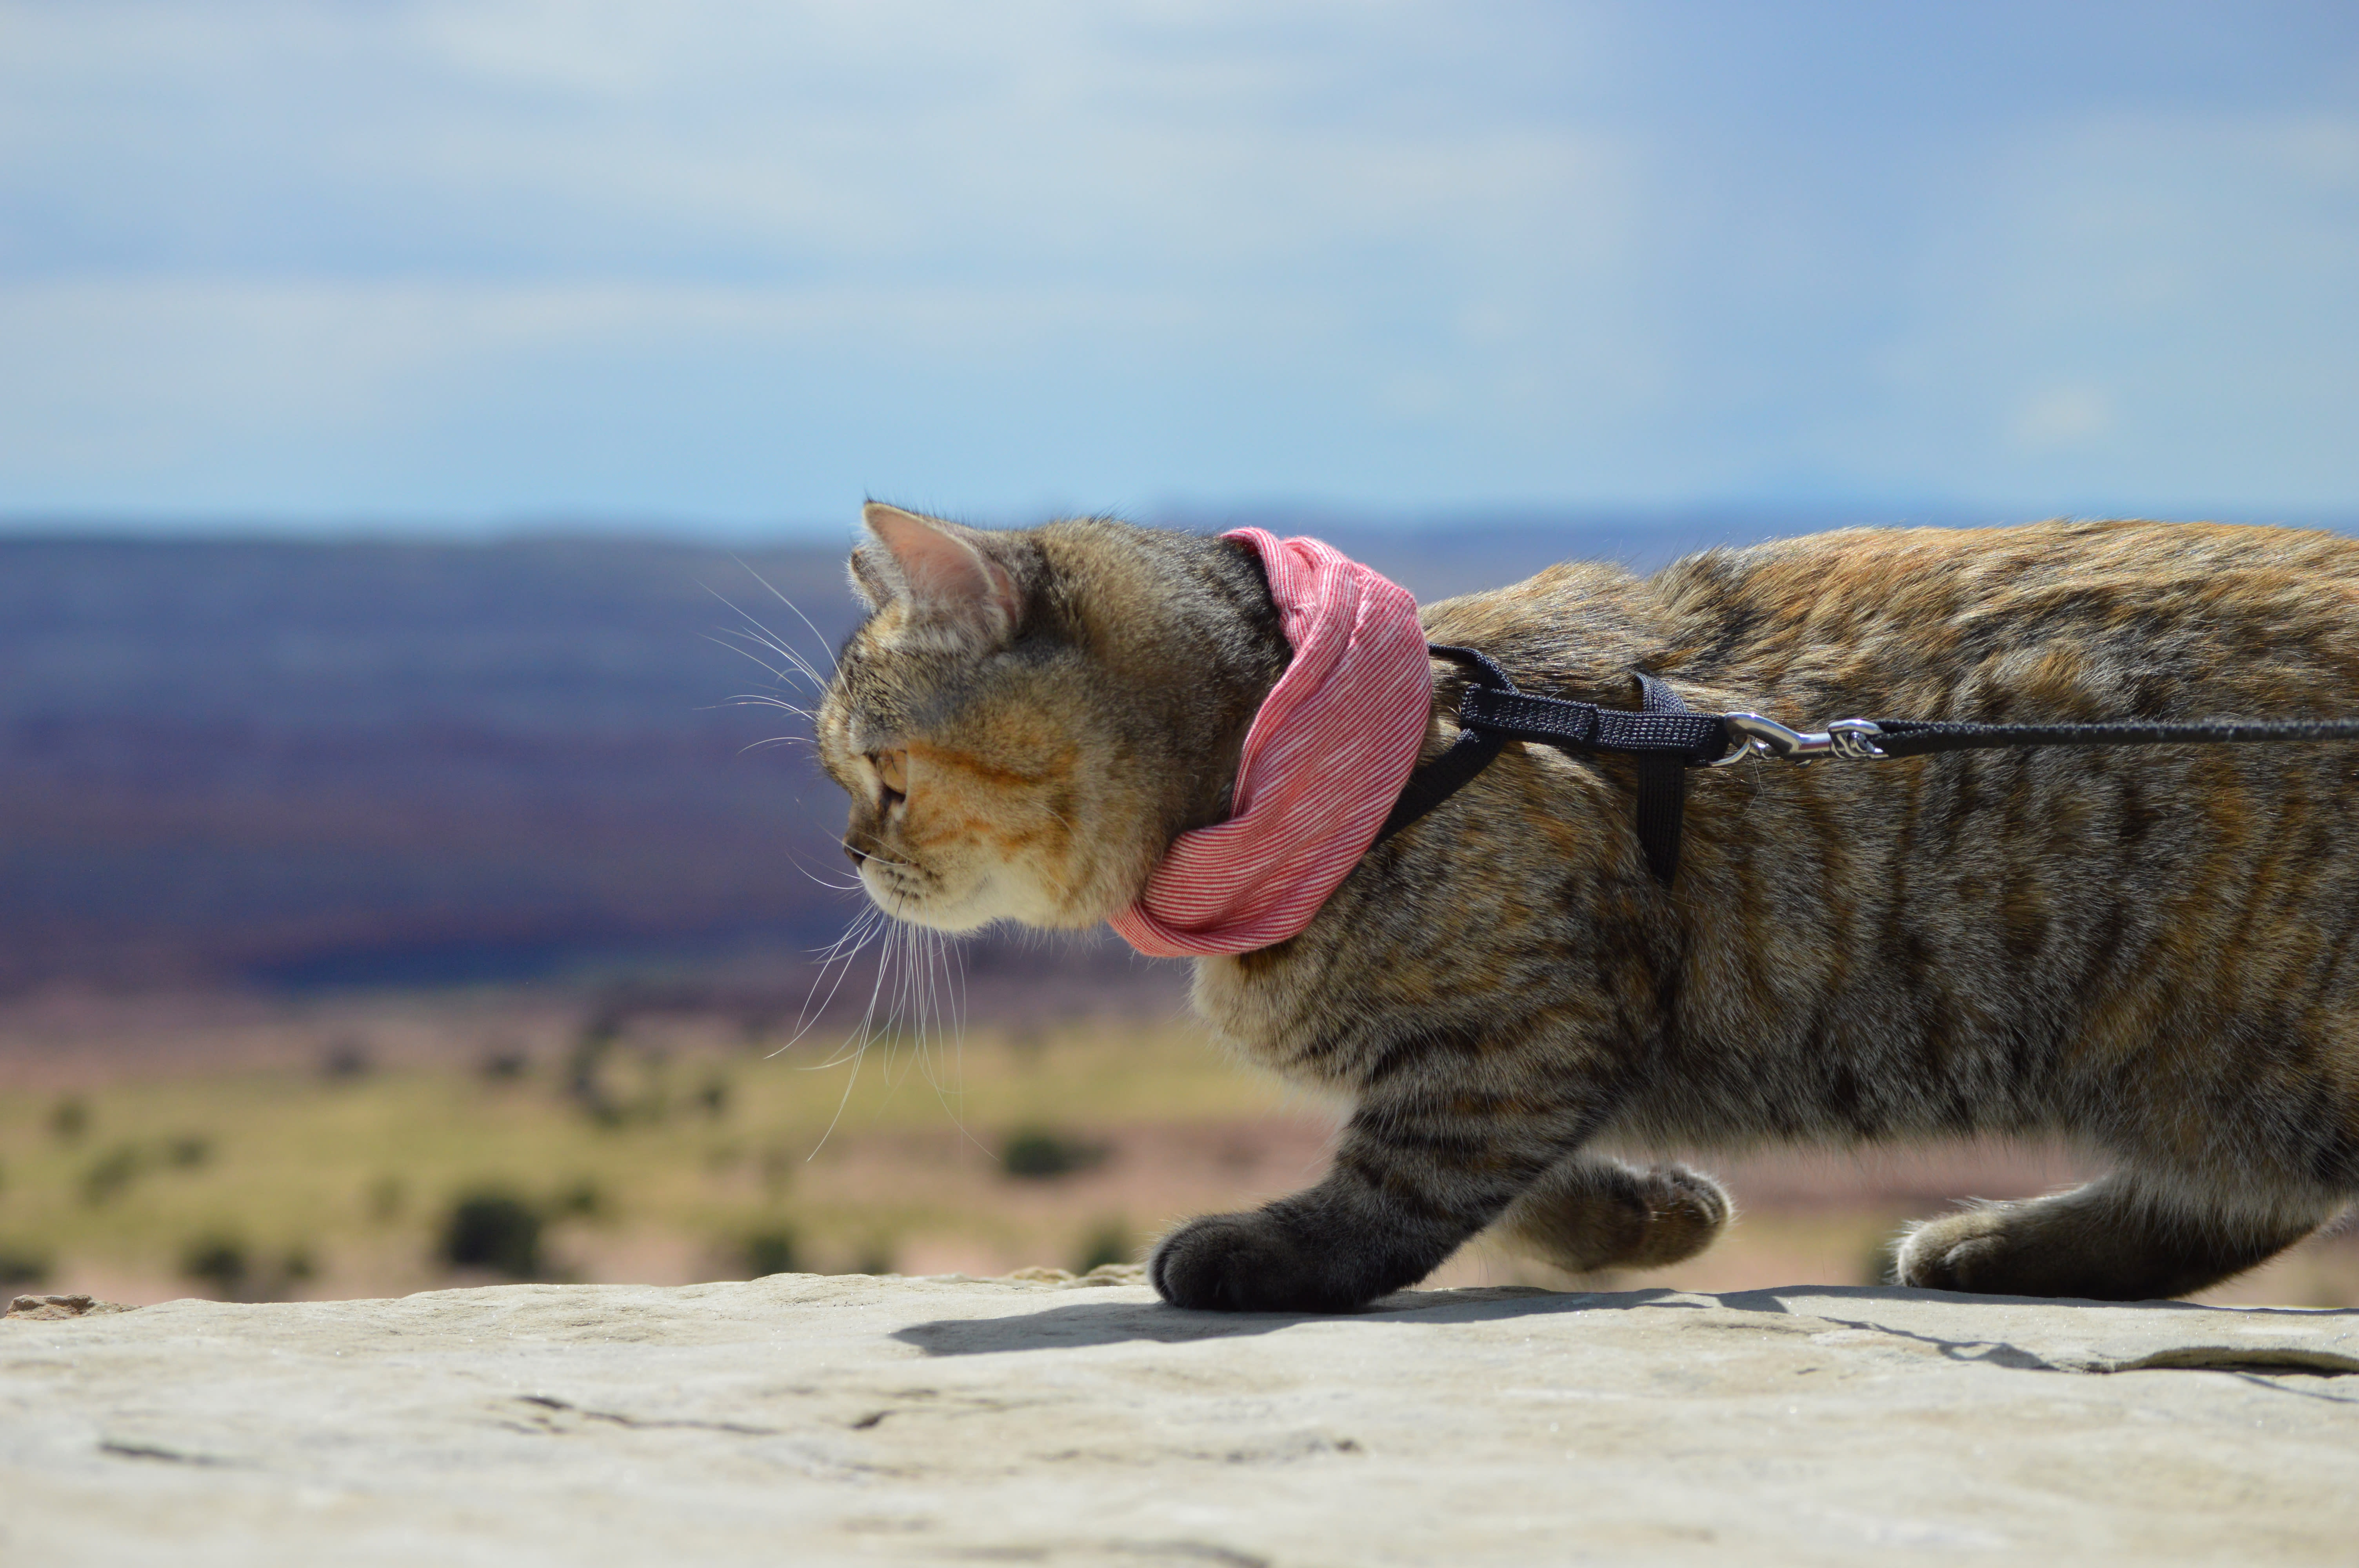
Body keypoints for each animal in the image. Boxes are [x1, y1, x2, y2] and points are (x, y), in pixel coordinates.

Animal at [816, 502, 2359, 1311]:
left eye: (880, 779)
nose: (845, 851)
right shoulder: (1525, 1050)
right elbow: (1496, 1167)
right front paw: (1634, 1218)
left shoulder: (1530, 1029)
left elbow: (1407, 1171)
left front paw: (1273, 1252)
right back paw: (2007, 1248)